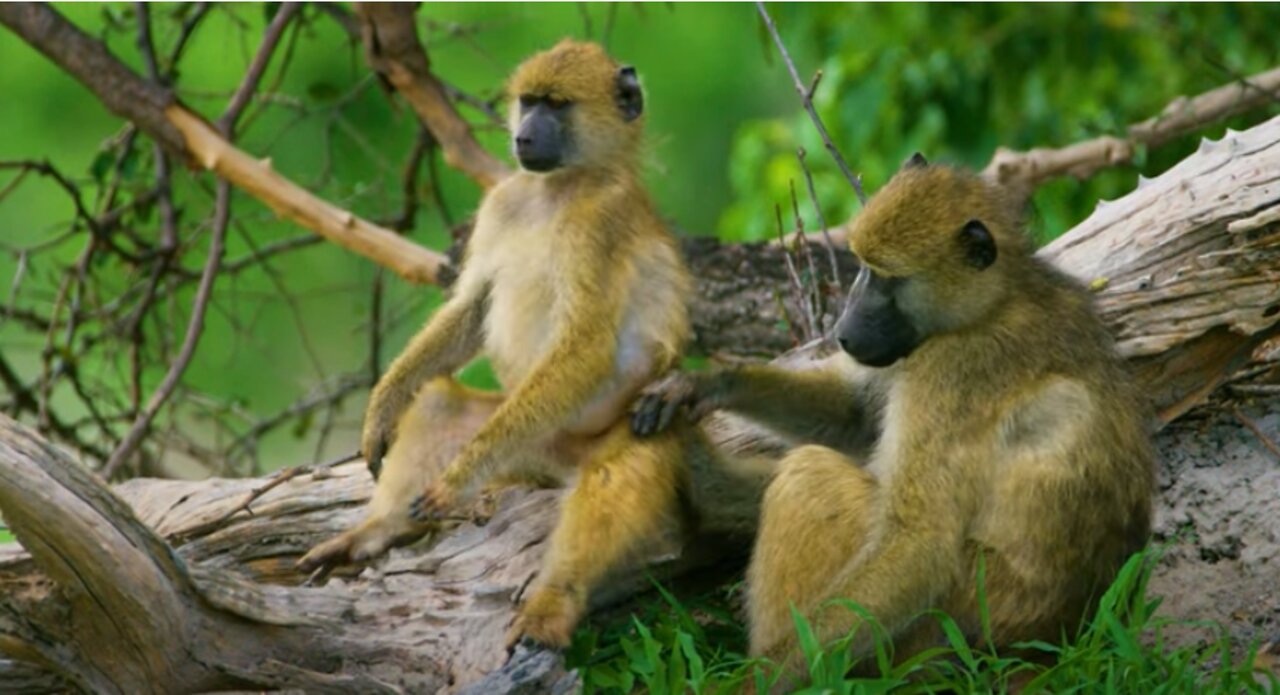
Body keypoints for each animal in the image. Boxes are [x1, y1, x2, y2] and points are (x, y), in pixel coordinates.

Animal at [298, 38, 716, 647]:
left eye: (558, 105)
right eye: (529, 102)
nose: (523, 137)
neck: (559, 187)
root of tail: (551, 463)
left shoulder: (602, 222)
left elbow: (587, 346)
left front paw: (452, 483)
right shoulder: (503, 201)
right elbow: (470, 309)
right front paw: (382, 408)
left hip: (588, 432)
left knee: (613, 478)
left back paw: (552, 604)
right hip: (516, 444)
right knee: (442, 406)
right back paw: (373, 531)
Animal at [634, 156, 1157, 680]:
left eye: (887, 280)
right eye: (864, 271)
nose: (845, 333)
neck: (995, 301)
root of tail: (1056, 643)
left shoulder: (954, 368)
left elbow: (919, 544)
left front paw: (757, 680)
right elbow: (855, 416)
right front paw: (702, 386)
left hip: (941, 631)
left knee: (811, 477)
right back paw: (709, 484)